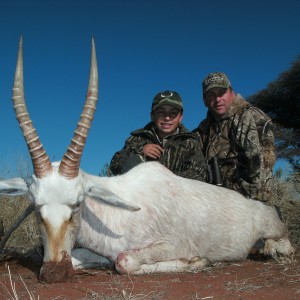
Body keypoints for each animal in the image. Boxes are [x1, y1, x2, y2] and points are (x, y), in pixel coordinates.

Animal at [0, 36, 294, 282]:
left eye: (76, 205)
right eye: (35, 208)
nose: (53, 274)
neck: (116, 213)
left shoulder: (172, 244)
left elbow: (124, 261)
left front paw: (197, 261)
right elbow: (82, 257)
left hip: (274, 231)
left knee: (285, 245)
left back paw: (270, 249)